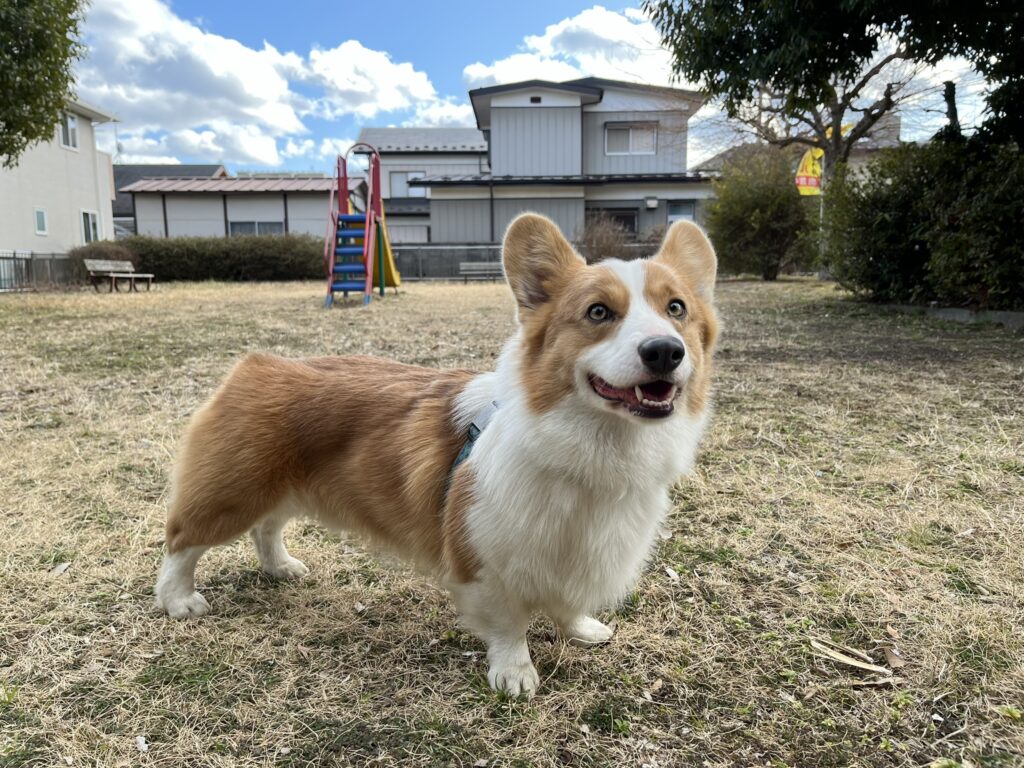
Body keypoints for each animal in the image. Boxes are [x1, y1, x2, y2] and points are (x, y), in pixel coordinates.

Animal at [153, 210, 720, 696]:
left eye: (677, 309)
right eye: (598, 312)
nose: (665, 352)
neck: (598, 446)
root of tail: (255, 366)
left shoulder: (578, 553)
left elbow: (567, 601)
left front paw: (582, 628)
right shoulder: (483, 558)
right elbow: (509, 624)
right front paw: (515, 674)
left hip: (282, 487)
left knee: (267, 528)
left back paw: (282, 567)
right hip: (233, 492)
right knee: (182, 542)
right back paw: (179, 599)